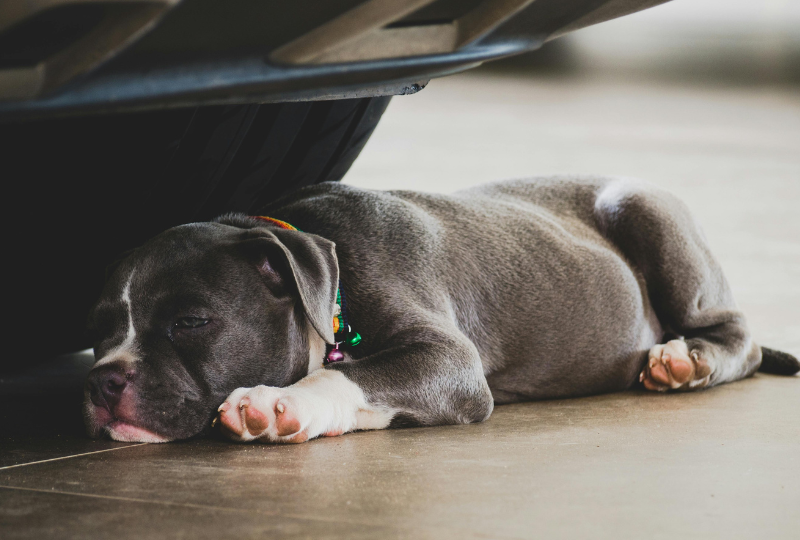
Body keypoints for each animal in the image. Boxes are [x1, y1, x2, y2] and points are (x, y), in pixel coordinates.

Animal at [84, 177, 796, 442]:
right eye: (99, 328)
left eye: (190, 323)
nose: (102, 380)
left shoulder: (449, 360)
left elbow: (348, 374)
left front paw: (281, 403)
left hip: (643, 208)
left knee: (739, 335)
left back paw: (685, 360)